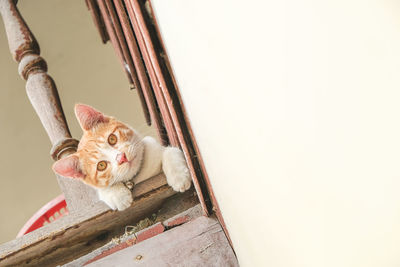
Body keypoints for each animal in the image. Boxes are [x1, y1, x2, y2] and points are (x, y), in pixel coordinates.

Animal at [52, 104, 192, 211]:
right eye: (101, 165)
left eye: (112, 139)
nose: (122, 158)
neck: (139, 176)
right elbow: (102, 189)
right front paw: (118, 196)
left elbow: (170, 151)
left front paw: (179, 177)